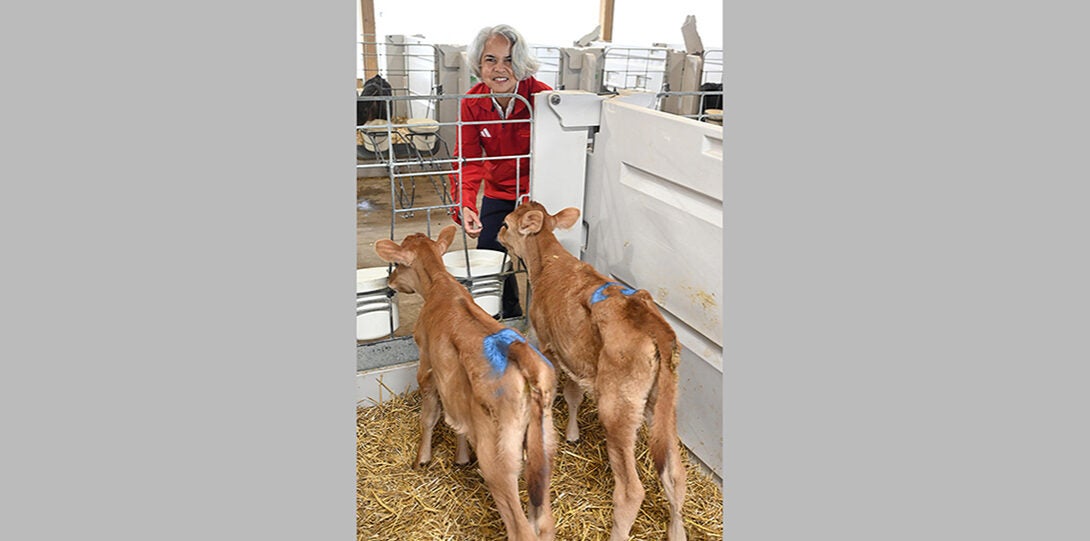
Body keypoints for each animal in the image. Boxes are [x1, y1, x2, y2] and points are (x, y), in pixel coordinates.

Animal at [377, 223, 562, 541]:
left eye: (398, 264)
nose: (389, 282)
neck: (440, 285)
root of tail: (524, 357)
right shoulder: (456, 390)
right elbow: (457, 422)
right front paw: (461, 457)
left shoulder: (427, 368)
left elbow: (429, 417)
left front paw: (421, 459)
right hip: (544, 448)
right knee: (545, 522)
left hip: (498, 459)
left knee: (521, 529)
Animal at [499, 200, 684, 541]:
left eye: (505, 224)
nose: (496, 233)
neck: (547, 260)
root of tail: (652, 324)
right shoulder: (574, 355)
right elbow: (574, 395)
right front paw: (573, 434)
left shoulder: (548, 343)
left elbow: (563, 390)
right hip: (662, 404)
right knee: (675, 476)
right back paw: (678, 532)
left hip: (618, 407)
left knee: (631, 491)